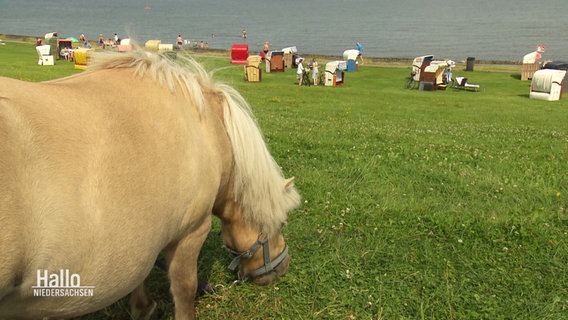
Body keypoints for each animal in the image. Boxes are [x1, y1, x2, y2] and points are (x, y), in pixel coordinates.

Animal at [0, 48, 302, 318]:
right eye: (283, 222)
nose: (283, 267)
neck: (212, 135)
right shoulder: (192, 231)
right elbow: (184, 288)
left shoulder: (145, 236)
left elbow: (142, 274)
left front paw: (143, 307)